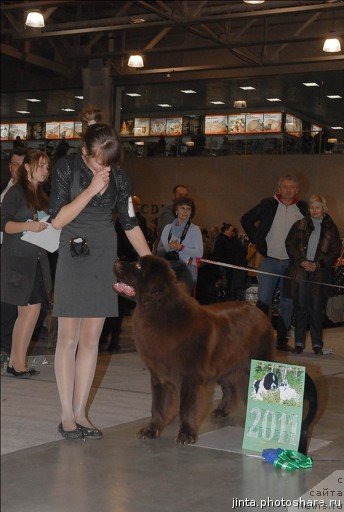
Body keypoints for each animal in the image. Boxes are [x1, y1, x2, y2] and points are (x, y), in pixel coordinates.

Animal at [113, 256, 274, 444]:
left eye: (138, 266)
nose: (117, 261)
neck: (157, 308)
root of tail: (259, 311)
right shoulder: (159, 376)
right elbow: (158, 405)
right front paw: (151, 430)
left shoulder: (191, 378)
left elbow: (187, 407)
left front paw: (186, 434)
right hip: (224, 365)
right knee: (230, 388)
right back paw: (221, 410)